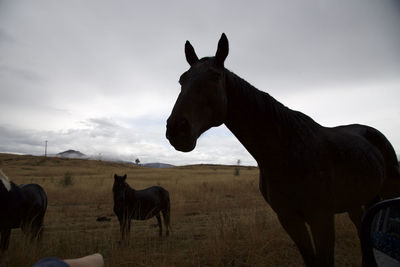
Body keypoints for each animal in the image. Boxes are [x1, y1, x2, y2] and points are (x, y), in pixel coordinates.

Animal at [166, 34, 400, 267]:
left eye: (214, 76)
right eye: (182, 80)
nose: (177, 129)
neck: (286, 153)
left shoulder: (322, 218)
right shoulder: (289, 219)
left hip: (387, 194)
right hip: (357, 202)